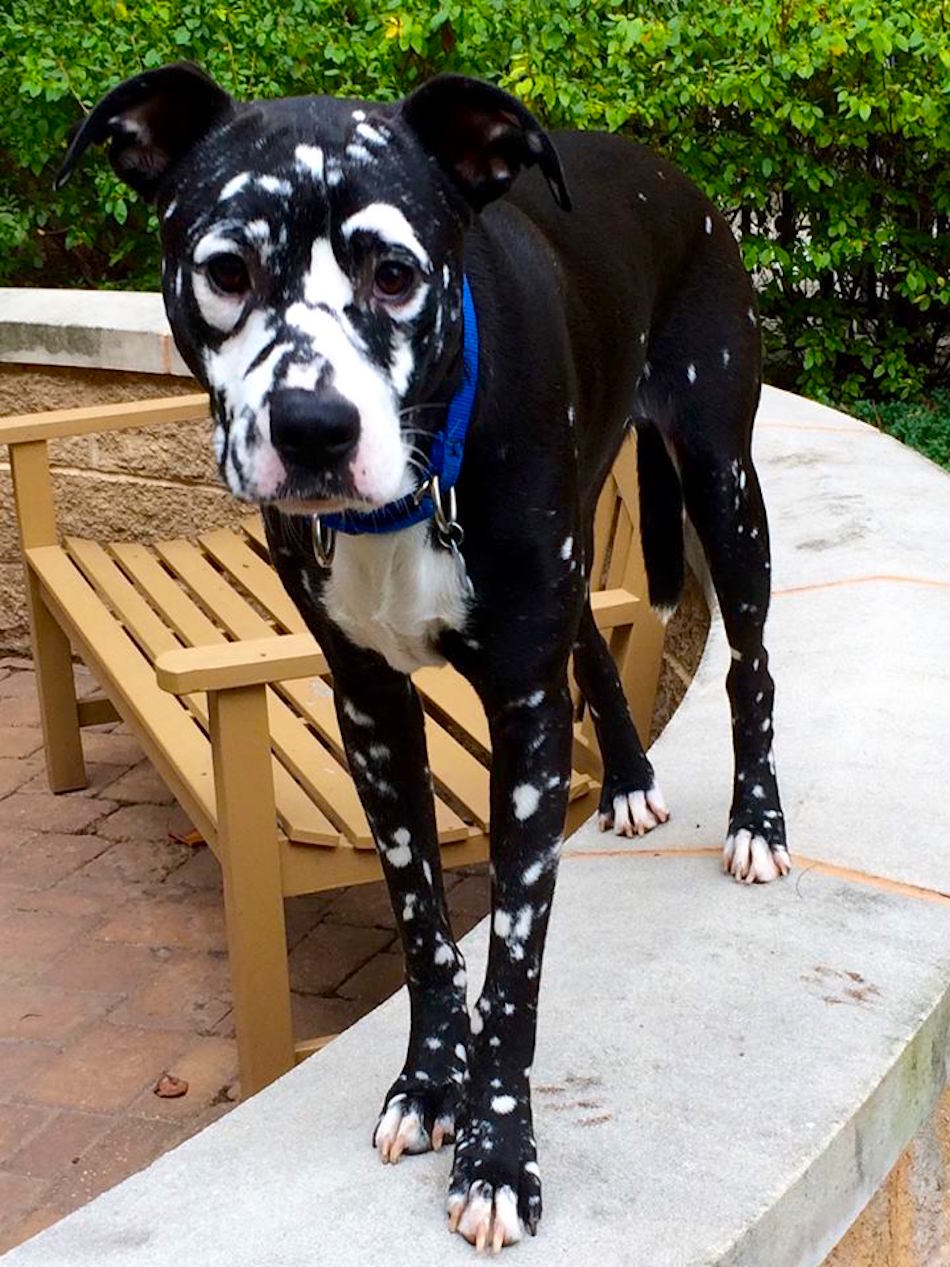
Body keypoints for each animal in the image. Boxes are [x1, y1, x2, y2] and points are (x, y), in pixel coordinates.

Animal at [59, 64, 790, 1251]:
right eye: (226, 270)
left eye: (394, 272)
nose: (312, 425)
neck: (410, 490)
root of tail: (669, 172)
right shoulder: (370, 711)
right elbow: (421, 924)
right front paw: (426, 1079)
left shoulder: (525, 725)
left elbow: (515, 966)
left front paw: (499, 1153)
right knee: (594, 640)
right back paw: (630, 778)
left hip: (723, 479)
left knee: (750, 663)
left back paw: (757, 822)